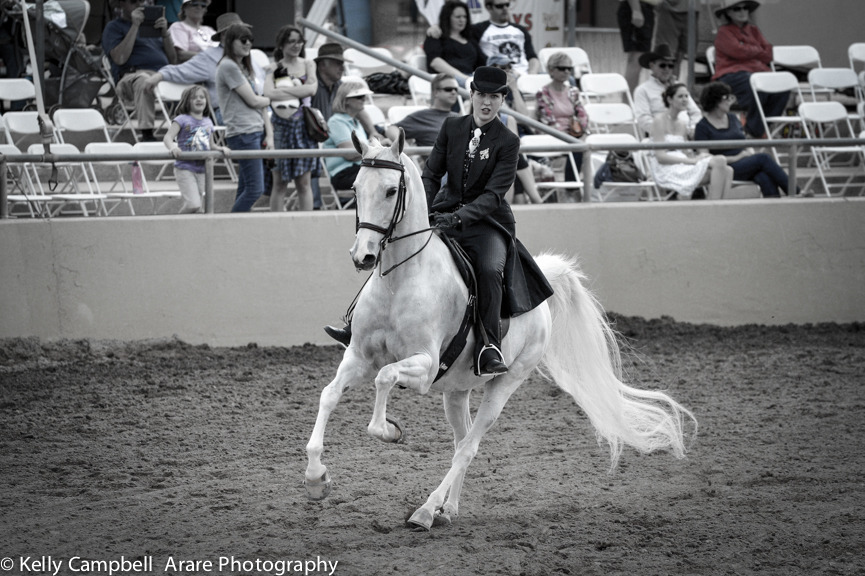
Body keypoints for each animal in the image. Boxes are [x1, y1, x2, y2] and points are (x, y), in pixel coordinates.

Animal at [304, 130, 697, 530]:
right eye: (355, 188)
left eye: (389, 191)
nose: (363, 256)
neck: (400, 280)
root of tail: (541, 294)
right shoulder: (357, 356)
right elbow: (329, 395)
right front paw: (317, 479)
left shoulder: (424, 366)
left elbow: (384, 378)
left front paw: (390, 431)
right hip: (456, 390)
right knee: (460, 442)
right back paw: (448, 509)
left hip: (506, 383)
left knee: (469, 446)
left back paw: (426, 510)